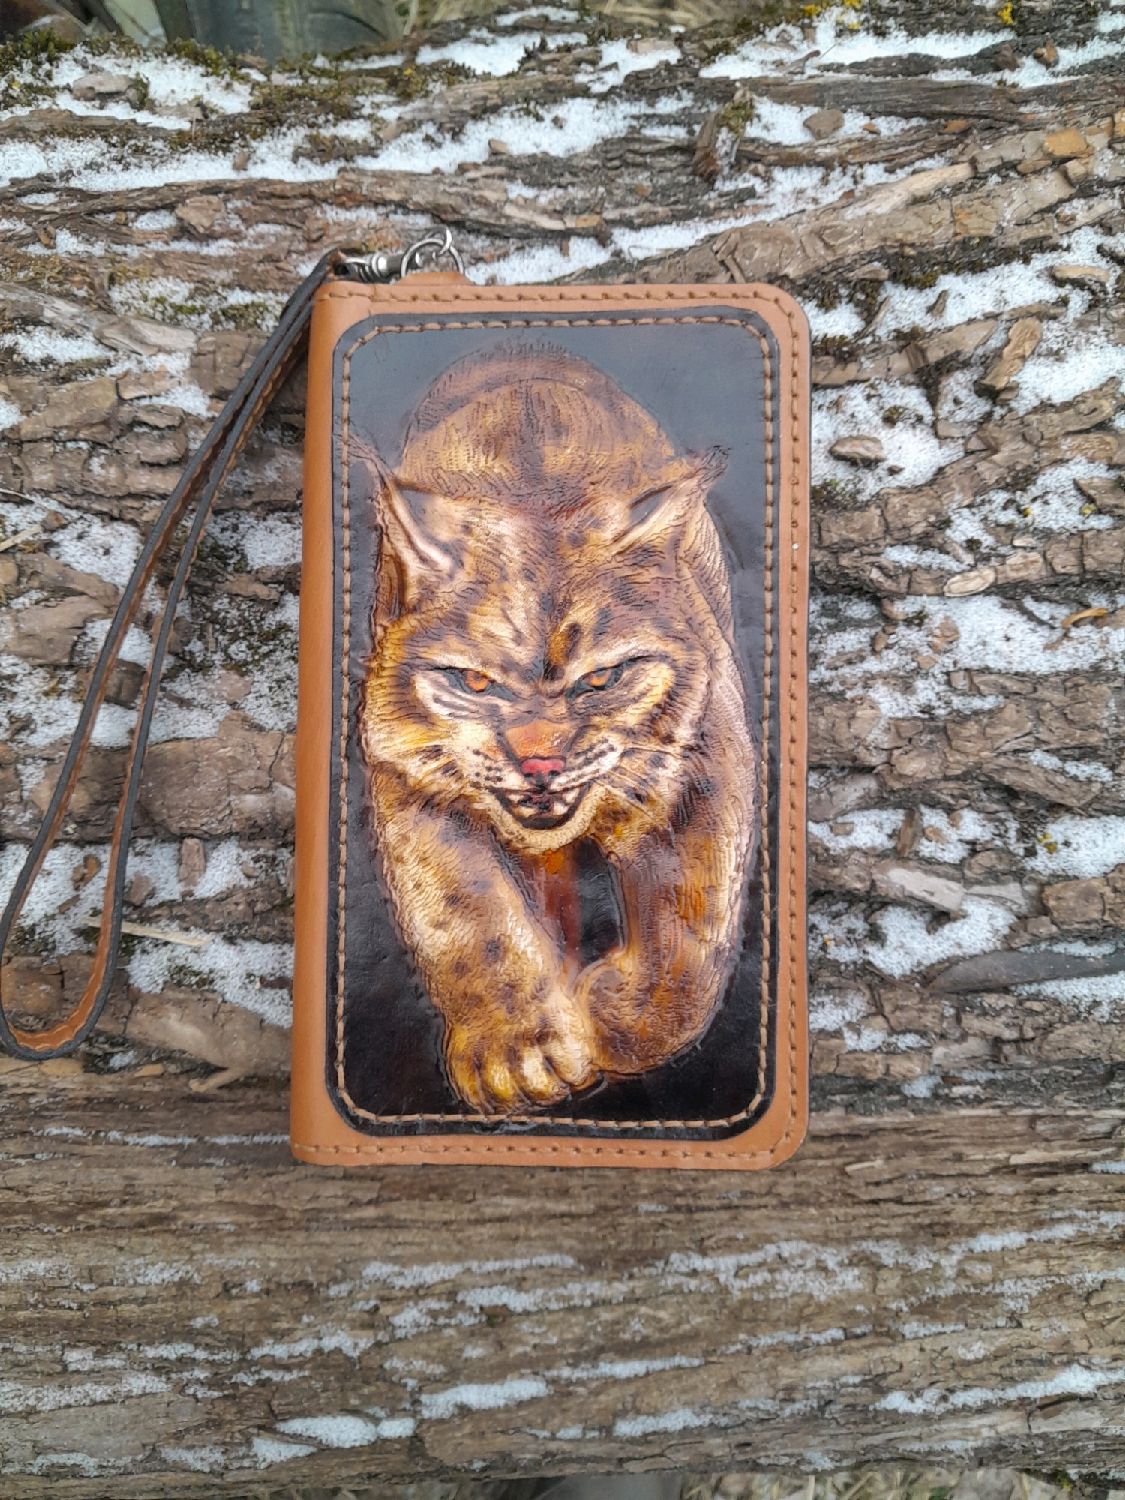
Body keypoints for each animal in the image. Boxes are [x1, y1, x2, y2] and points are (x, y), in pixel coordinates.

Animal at [357, 343, 756, 1116]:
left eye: (599, 681)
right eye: (475, 684)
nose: (538, 764)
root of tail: (520, 347)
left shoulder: (700, 752)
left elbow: (691, 931)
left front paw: (614, 1017)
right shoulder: (405, 769)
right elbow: (460, 909)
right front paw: (518, 1049)